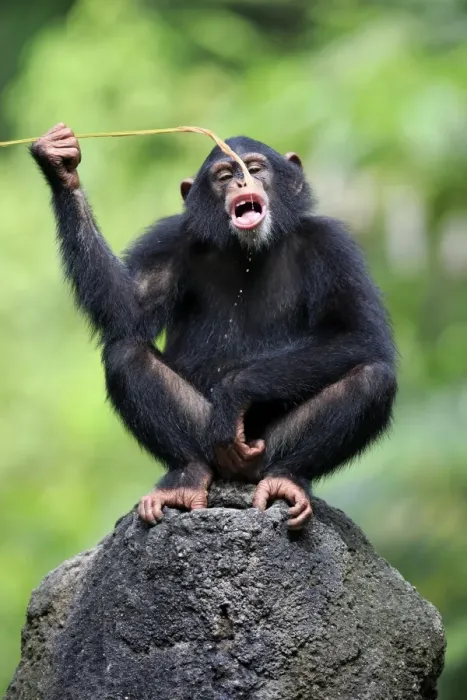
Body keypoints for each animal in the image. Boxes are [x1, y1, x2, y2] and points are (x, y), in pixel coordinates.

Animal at [31, 123, 397, 530]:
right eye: (224, 175)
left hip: (262, 451)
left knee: (373, 378)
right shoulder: (168, 239)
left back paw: (286, 479)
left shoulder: (333, 246)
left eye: (255, 168)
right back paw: (186, 478)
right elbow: (128, 309)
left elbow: (358, 333)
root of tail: (236, 476)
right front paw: (61, 165)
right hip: (210, 445)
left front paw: (235, 392)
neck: (248, 249)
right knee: (126, 353)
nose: (241, 181)